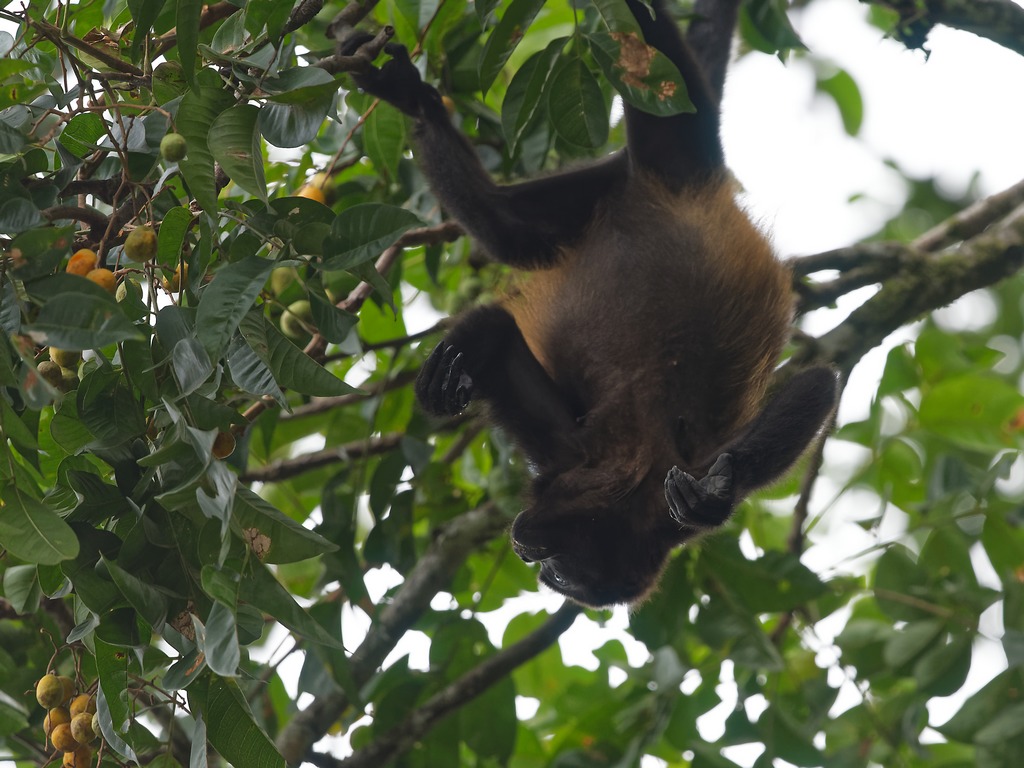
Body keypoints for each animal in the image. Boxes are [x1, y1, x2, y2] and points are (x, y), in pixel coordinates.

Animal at [346, 0, 839, 606]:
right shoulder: (626, 458)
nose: (527, 555)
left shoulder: (575, 456)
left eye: (563, 575)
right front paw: (715, 498)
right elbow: (819, 384)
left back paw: (415, 106)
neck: (636, 462)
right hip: (676, 144)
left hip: (605, 184)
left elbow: (493, 331)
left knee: (507, 227)